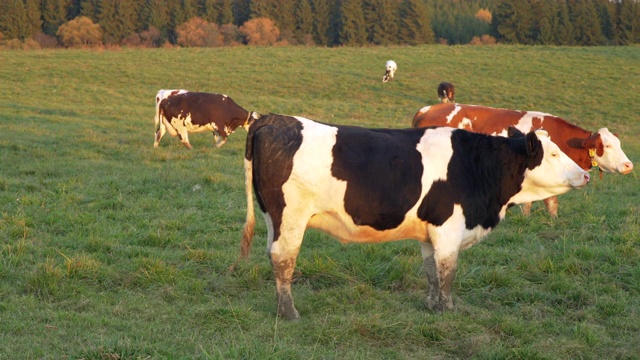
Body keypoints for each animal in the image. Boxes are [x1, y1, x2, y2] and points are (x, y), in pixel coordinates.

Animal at [240, 114, 592, 320]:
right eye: (555, 153)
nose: (586, 175)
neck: (477, 166)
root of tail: (274, 119)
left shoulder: (430, 231)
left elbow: (432, 271)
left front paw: (432, 306)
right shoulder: (449, 229)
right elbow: (448, 271)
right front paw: (448, 310)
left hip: (274, 218)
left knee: (273, 255)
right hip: (292, 216)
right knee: (284, 259)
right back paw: (289, 312)